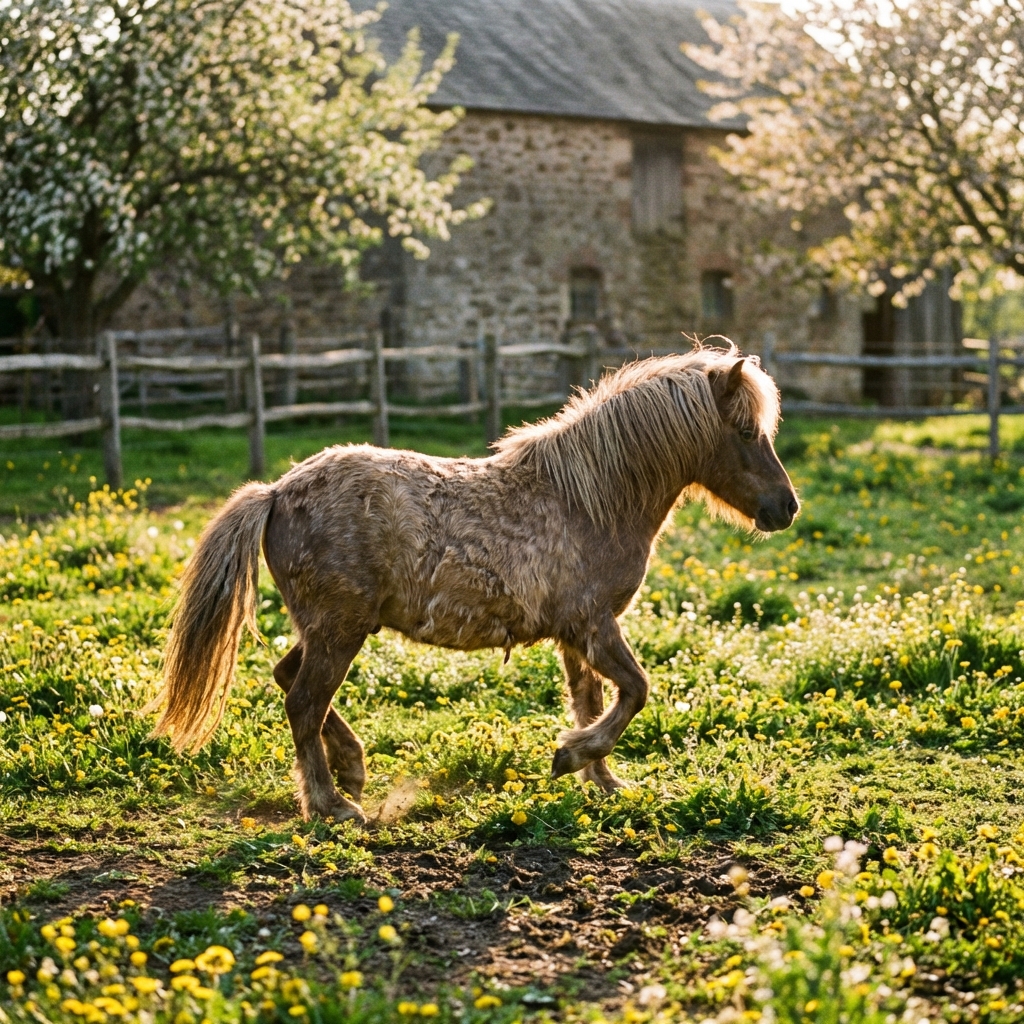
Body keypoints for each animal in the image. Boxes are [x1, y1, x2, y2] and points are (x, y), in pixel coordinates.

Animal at [147, 343, 799, 824]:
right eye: (746, 432)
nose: (785, 508)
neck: (588, 499)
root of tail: (277, 491)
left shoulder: (576, 635)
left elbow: (592, 699)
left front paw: (603, 780)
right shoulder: (593, 625)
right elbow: (635, 691)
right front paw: (572, 756)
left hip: (330, 628)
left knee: (290, 681)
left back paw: (353, 768)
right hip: (339, 629)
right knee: (304, 701)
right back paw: (332, 805)